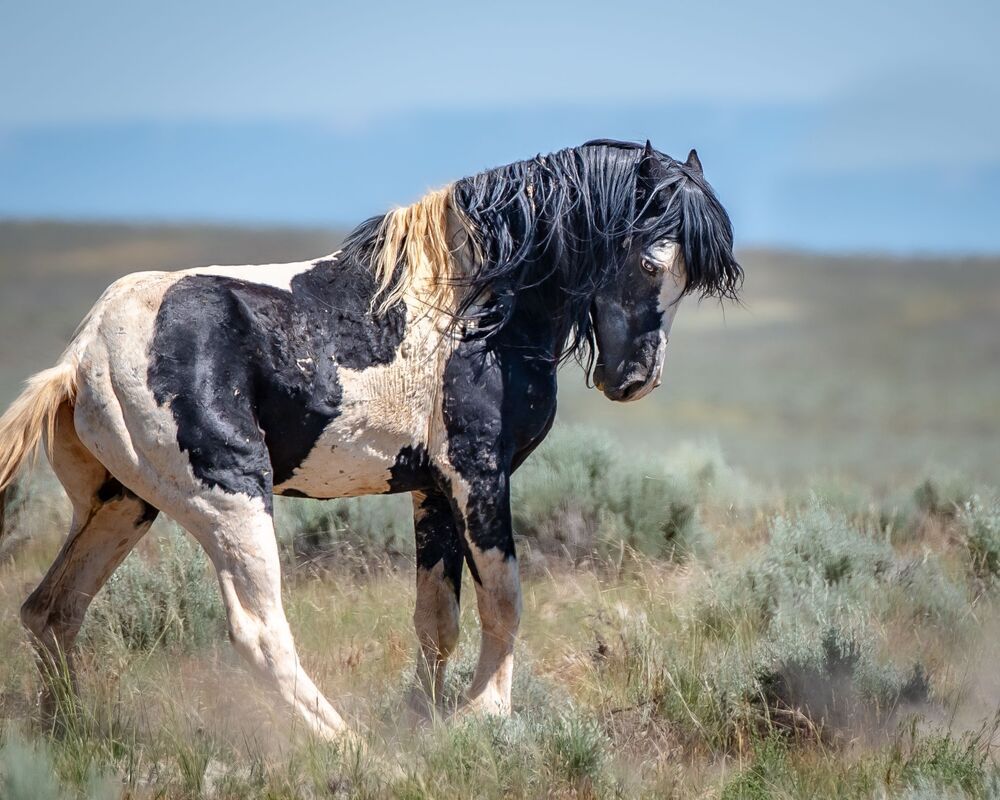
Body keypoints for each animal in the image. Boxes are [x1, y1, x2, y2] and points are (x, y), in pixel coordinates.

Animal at [0, 139, 741, 738]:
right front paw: (485, 715)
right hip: (230, 500)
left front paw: (429, 720)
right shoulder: (478, 475)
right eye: (650, 264)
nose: (634, 378)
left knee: (53, 611)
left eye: (687, 281)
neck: (477, 305)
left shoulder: (432, 491)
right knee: (259, 633)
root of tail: (81, 356)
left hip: (123, 504)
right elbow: (504, 601)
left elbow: (437, 619)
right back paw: (351, 749)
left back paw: (72, 732)